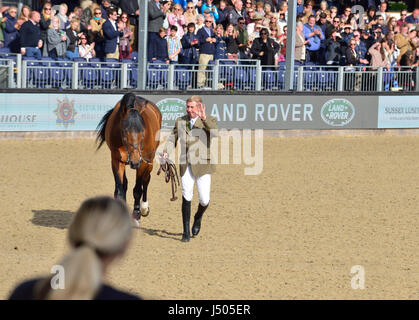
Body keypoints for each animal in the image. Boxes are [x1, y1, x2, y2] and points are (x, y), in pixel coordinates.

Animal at [97, 92, 162, 221]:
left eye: (143, 132)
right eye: (125, 131)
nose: (135, 162)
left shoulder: (143, 163)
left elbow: (137, 190)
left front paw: (137, 212)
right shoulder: (116, 160)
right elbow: (121, 189)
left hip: (149, 161)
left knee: (146, 180)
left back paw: (144, 207)